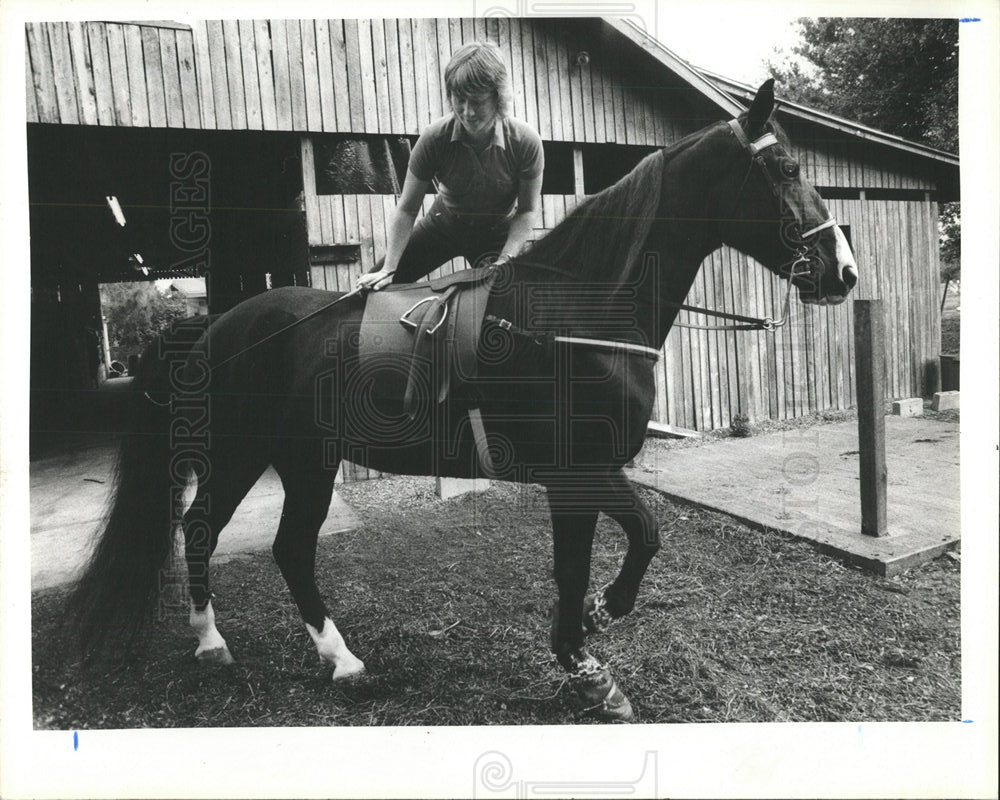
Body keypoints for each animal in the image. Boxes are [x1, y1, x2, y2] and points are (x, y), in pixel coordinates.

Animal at [70, 83, 856, 724]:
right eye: (785, 170)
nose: (842, 272)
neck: (575, 316)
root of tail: (217, 327)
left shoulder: (582, 476)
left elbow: (614, 550)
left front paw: (587, 644)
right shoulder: (576, 473)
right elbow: (626, 545)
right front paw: (591, 648)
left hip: (295, 461)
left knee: (268, 543)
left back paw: (301, 654)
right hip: (251, 455)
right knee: (216, 533)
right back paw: (255, 649)